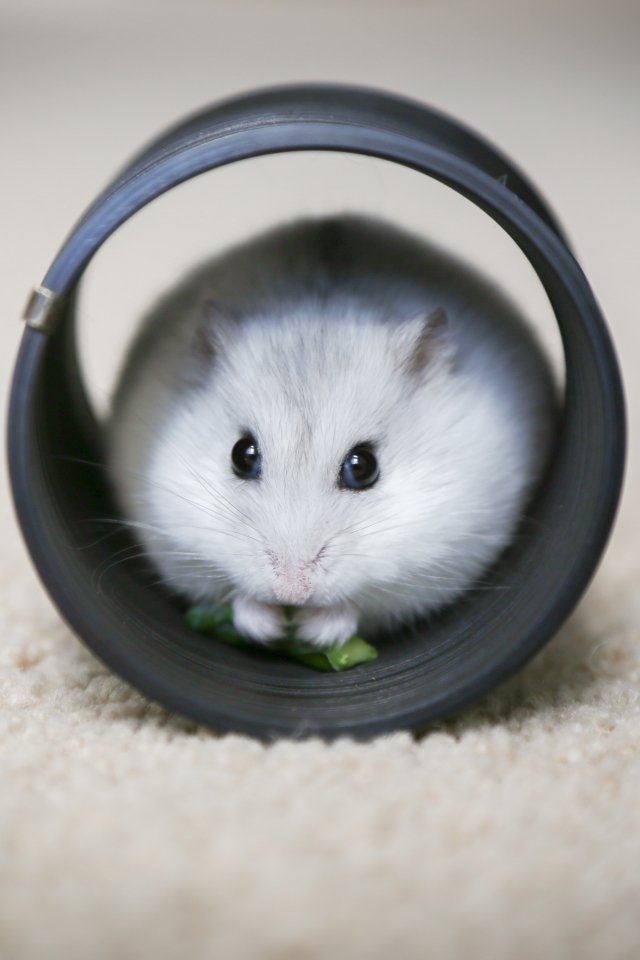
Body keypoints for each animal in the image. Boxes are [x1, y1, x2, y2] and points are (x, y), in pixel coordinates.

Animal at [107, 215, 556, 648]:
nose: (291, 591)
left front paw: (314, 632)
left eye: (363, 466)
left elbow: (361, 605)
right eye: (241, 455)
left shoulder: (440, 558)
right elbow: (235, 596)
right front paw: (269, 627)